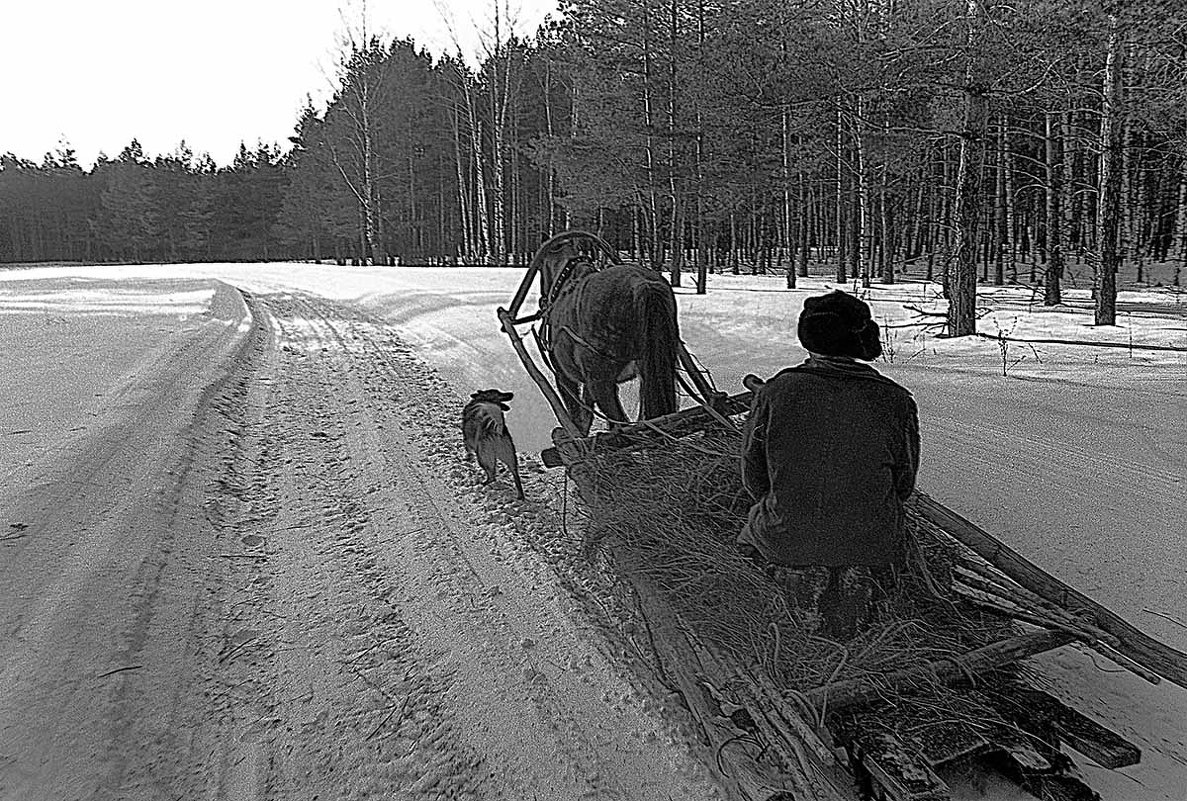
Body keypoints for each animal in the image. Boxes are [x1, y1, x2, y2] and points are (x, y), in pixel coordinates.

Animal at [529, 229, 678, 436]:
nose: (543, 302)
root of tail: (641, 283)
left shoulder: (565, 376)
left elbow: (576, 415)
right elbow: (587, 414)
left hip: (601, 382)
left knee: (622, 425)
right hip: (648, 373)